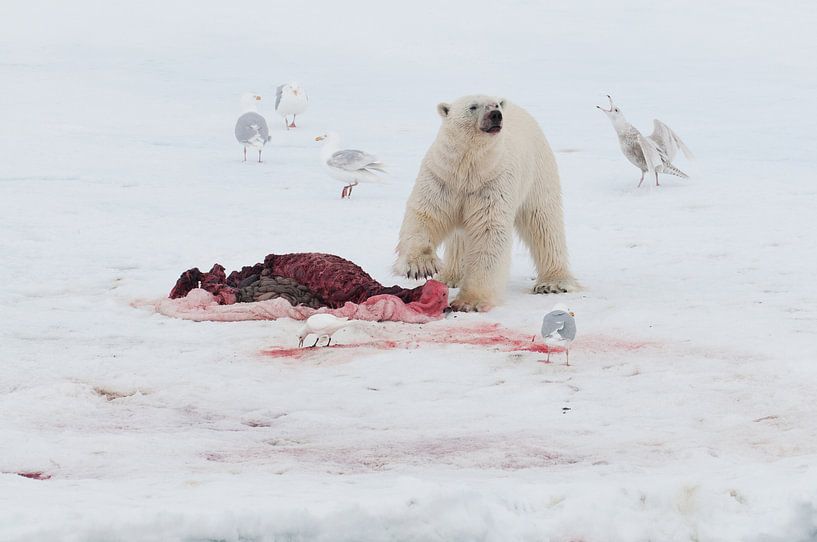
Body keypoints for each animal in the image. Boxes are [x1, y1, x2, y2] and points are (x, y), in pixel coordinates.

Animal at [394, 95, 572, 312]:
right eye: (473, 107)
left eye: (495, 105)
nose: (496, 115)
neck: (470, 169)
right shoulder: (443, 178)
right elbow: (426, 215)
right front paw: (421, 267)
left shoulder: (492, 184)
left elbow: (488, 232)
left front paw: (469, 302)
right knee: (459, 238)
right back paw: (450, 276)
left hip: (537, 172)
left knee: (544, 223)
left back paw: (552, 283)